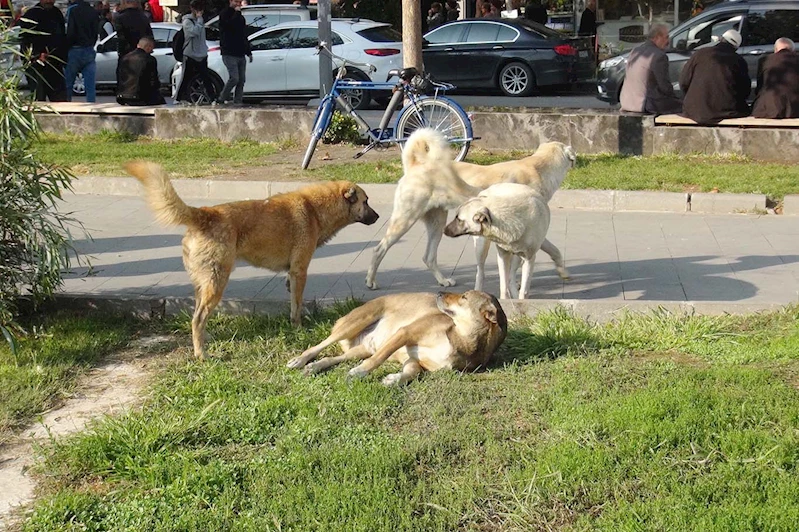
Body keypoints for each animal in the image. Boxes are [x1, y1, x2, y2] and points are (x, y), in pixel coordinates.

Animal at [127, 162, 382, 360]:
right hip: (217, 283)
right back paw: (202, 354)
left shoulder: (291, 275)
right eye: (366, 201)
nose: (379, 217)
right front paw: (298, 327)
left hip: (204, 284)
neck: (315, 208)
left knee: (197, 317)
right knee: (198, 319)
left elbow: (292, 298)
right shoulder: (300, 271)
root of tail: (205, 213)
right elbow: (297, 305)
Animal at [290, 290, 510, 386]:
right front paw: (360, 372)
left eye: (464, 297)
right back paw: (300, 360)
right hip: (354, 323)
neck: (460, 338)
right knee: (319, 346)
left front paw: (393, 379)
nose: (439, 292)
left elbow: (413, 373)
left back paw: (314, 367)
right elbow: (376, 360)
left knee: (332, 358)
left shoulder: (414, 359)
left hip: (361, 349)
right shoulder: (405, 333)